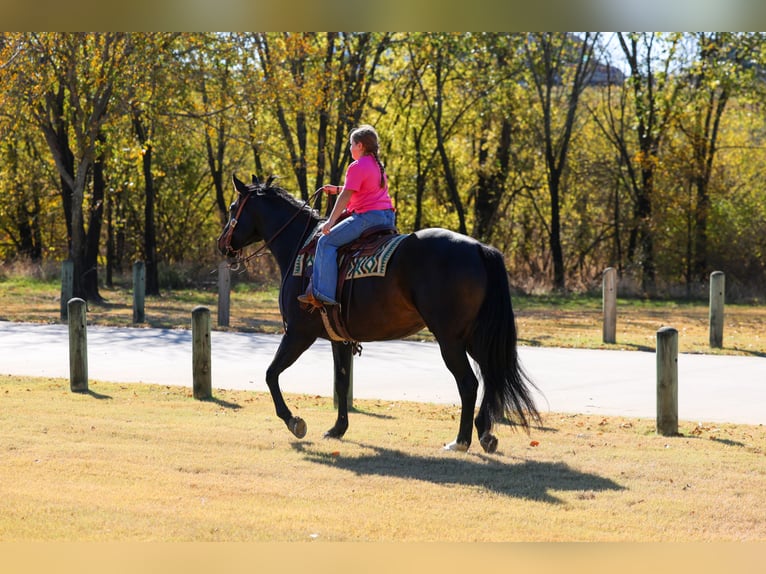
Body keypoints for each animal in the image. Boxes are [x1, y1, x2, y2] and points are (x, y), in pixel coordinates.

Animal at [217, 174, 540, 453]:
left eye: (233, 207)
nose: (222, 244)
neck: (300, 246)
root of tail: (479, 248)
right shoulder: (339, 339)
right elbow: (342, 383)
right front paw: (338, 429)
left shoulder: (298, 333)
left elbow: (271, 374)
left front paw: (294, 421)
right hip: (473, 336)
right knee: (490, 376)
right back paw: (485, 433)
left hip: (450, 340)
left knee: (469, 384)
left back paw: (460, 441)